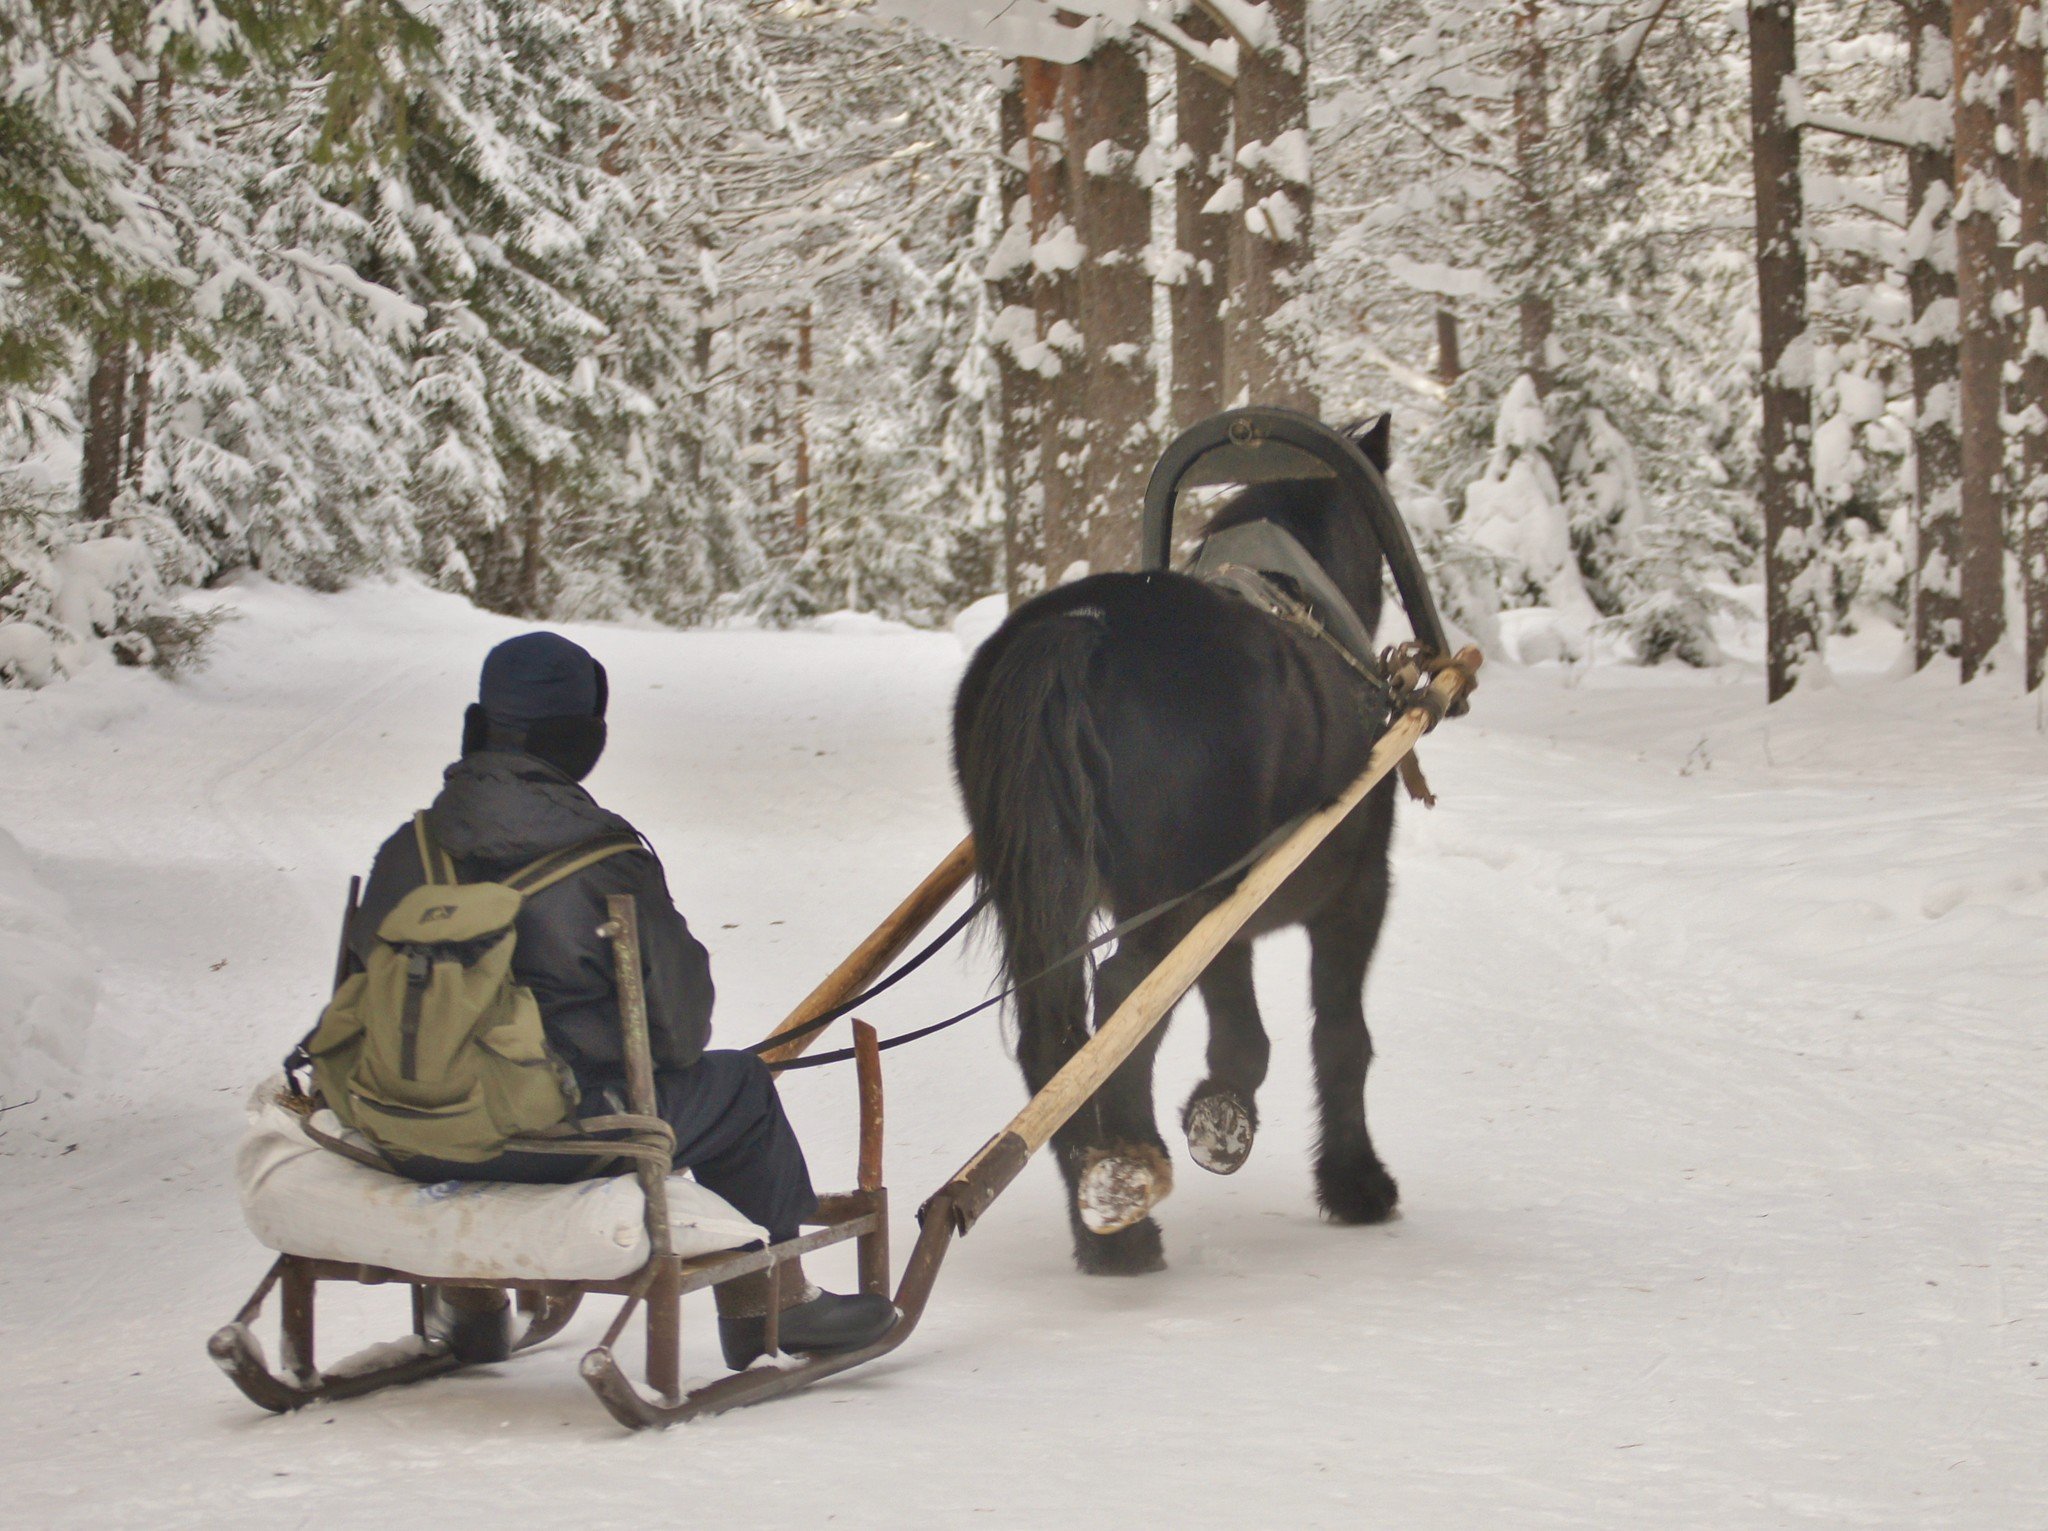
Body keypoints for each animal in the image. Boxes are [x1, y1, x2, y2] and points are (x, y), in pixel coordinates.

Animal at [946, 413, 1400, 1277]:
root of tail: (1079, 629)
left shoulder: (1230, 914)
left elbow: (1242, 1032)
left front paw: (1221, 1116)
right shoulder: (1356, 891)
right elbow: (1342, 1035)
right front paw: (1356, 1182)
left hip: (1079, 895)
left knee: (1054, 1034)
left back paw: (1106, 1226)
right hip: (1172, 899)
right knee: (1125, 999)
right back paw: (1127, 1183)